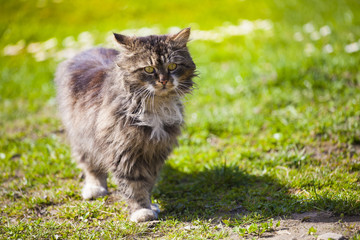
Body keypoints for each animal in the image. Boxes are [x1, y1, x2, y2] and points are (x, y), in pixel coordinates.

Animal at [54, 27, 197, 221]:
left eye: (172, 66)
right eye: (149, 69)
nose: (164, 80)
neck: (155, 105)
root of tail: (88, 50)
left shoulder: (155, 151)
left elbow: (148, 182)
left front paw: (150, 205)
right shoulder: (124, 152)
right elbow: (134, 186)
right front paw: (142, 211)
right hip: (83, 137)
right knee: (90, 165)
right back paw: (95, 188)